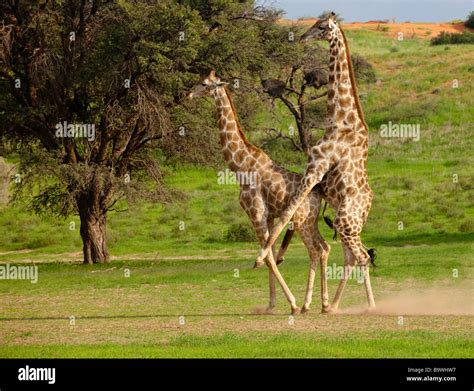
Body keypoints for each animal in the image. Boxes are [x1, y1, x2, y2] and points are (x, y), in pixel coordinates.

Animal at [187, 70, 332, 316]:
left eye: (204, 84)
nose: (188, 94)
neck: (239, 167)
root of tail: (318, 193)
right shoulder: (269, 216)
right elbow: (270, 253)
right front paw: (270, 305)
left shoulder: (256, 213)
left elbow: (269, 258)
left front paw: (291, 304)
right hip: (310, 221)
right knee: (324, 248)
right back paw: (323, 304)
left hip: (301, 221)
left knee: (314, 251)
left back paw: (305, 304)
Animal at [258, 13, 376, 314]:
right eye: (314, 23)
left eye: (322, 27)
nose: (302, 37)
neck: (338, 118)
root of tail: (368, 204)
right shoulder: (313, 173)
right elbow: (291, 215)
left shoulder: (316, 167)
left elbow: (288, 213)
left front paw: (262, 256)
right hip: (348, 223)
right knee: (352, 256)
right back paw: (331, 305)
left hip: (345, 221)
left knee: (361, 256)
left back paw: (369, 305)